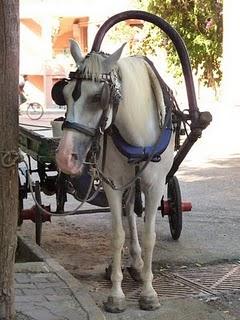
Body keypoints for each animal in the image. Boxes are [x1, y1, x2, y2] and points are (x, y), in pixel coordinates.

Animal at [56, 40, 174, 312]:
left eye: (98, 97)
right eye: (64, 94)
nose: (65, 157)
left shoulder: (155, 185)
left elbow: (150, 236)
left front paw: (149, 293)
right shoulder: (113, 185)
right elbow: (117, 234)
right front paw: (116, 294)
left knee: (132, 211)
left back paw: (139, 264)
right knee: (127, 212)